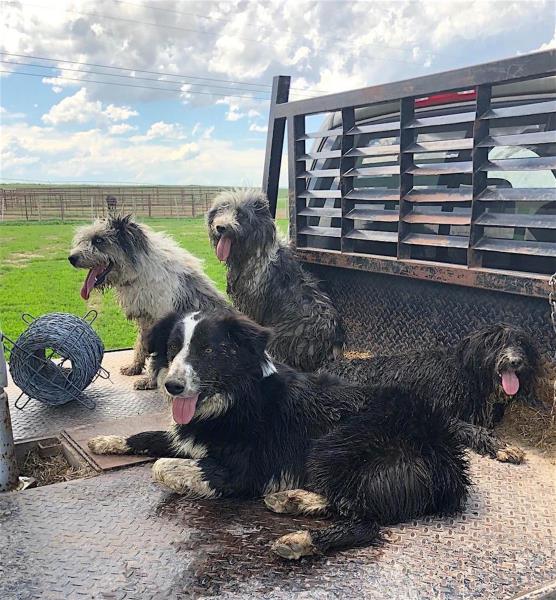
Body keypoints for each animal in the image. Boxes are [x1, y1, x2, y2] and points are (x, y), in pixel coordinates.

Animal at [68, 216, 227, 390]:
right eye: (83, 240)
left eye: (98, 240)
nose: (71, 258)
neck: (138, 272)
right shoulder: (145, 319)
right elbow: (141, 345)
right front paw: (134, 368)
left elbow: (156, 357)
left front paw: (150, 380)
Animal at [88, 312, 470, 560]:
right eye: (172, 348)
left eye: (208, 350)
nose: (172, 386)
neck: (234, 396)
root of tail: (447, 456)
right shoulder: (189, 439)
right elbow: (146, 435)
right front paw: (106, 441)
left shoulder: (243, 471)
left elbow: (162, 468)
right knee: (347, 502)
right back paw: (294, 499)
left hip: (333, 445)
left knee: (367, 522)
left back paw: (304, 539)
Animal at [206, 190, 344, 372]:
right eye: (221, 210)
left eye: (240, 214)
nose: (220, 227)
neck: (251, 253)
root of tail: (331, 347)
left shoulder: (252, 305)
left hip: (280, 336)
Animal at [326, 324, 540, 464]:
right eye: (496, 343)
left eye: (520, 343)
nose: (515, 361)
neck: (466, 375)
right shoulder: (441, 414)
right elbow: (472, 429)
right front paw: (501, 446)